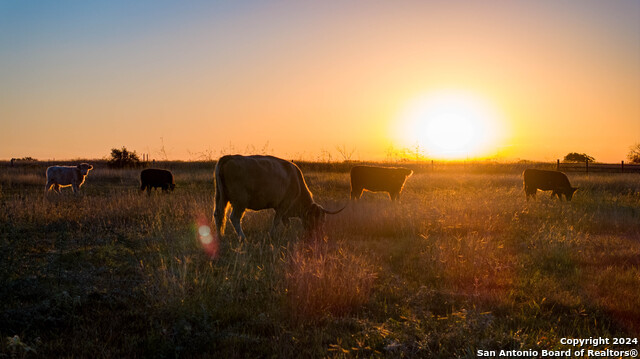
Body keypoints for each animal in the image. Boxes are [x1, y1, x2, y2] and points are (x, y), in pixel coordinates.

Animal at [214, 154, 344, 240]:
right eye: (320, 220)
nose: (319, 235)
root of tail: (229, 157)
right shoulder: (284, 205)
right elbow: (276, 221)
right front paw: (272, 235)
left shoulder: (284, 211)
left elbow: (286, 223)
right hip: (240, 202)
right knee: (234, 218)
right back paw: (243, 238)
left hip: (221, 198)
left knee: (218, 215)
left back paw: (220, 237)